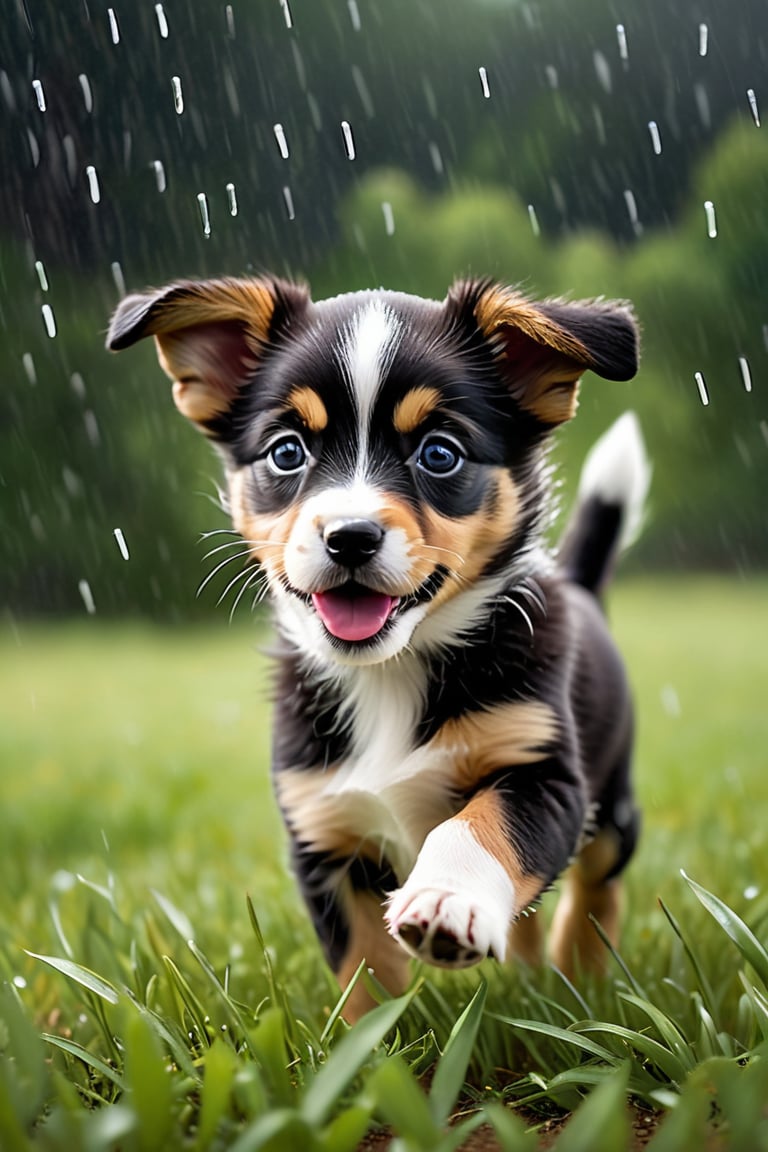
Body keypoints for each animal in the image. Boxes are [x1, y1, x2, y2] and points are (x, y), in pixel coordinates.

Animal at [106, 276, 649, 1018]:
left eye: (440, 453)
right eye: (286, 451)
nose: (351, 536)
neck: (389, 673)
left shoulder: (543, 774)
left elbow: (477, 826)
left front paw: (447, 900)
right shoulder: (322, 831)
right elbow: (363, 972)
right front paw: (372, 1043)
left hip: (610, 802)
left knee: (599, 881)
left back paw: (584, 974)